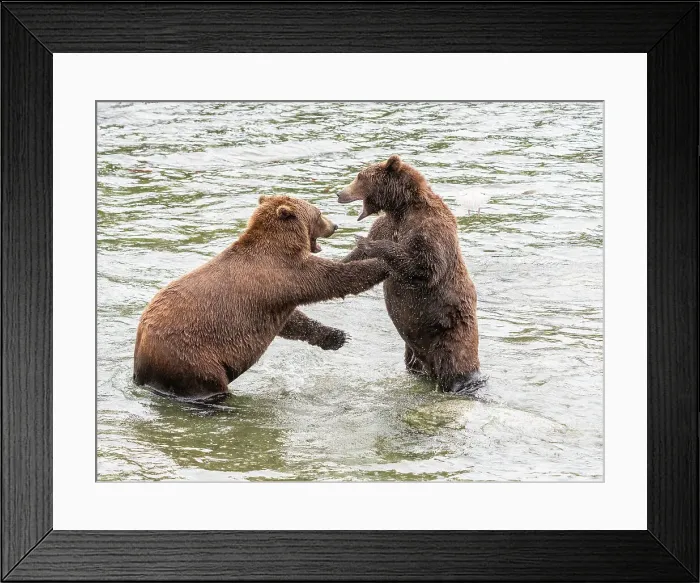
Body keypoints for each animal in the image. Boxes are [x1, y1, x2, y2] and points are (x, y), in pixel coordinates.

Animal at [133, 194, 389, 401]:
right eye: (318, 212)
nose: (335, 225)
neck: (281, 244)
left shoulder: (277, 298)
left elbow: (293, 321)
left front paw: (336, 337)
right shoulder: (286, 275)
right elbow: (333, 278)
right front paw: (382, 263)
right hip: (191, 357)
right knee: (207, 385)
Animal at [337, 155, 483, 395]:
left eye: (360, 176)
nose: (339, 193)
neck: (401, 208)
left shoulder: (428, 227)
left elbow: (426, 265)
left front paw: (366, 242)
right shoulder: (385, 224)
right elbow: (357, 259)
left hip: (450, 332)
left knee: (455, 363)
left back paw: (464, 383)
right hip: (414, 347)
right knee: (414, 362)